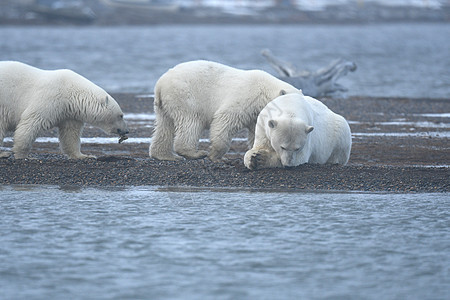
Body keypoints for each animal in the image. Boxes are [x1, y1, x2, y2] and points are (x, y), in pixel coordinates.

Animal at [0, 61, 128, 159]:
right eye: (121, 115)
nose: (126, 131)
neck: (71, 91)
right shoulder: (51, 98)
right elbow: (31, 123)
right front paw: (22, 154)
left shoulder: (70, 112)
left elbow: (70, 134)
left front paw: (85, 156)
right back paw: (4, 153)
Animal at [149, 59, 300, 161]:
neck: (264, 90)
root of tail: (160, 84)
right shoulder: (246, 98)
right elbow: (225, 120)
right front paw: (216, 156)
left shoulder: (257, 113)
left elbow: (256, 132)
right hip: (185, 96)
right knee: (191, 122)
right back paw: (195, 153)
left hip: (164, 105)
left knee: (165, 126)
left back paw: (165, 155)